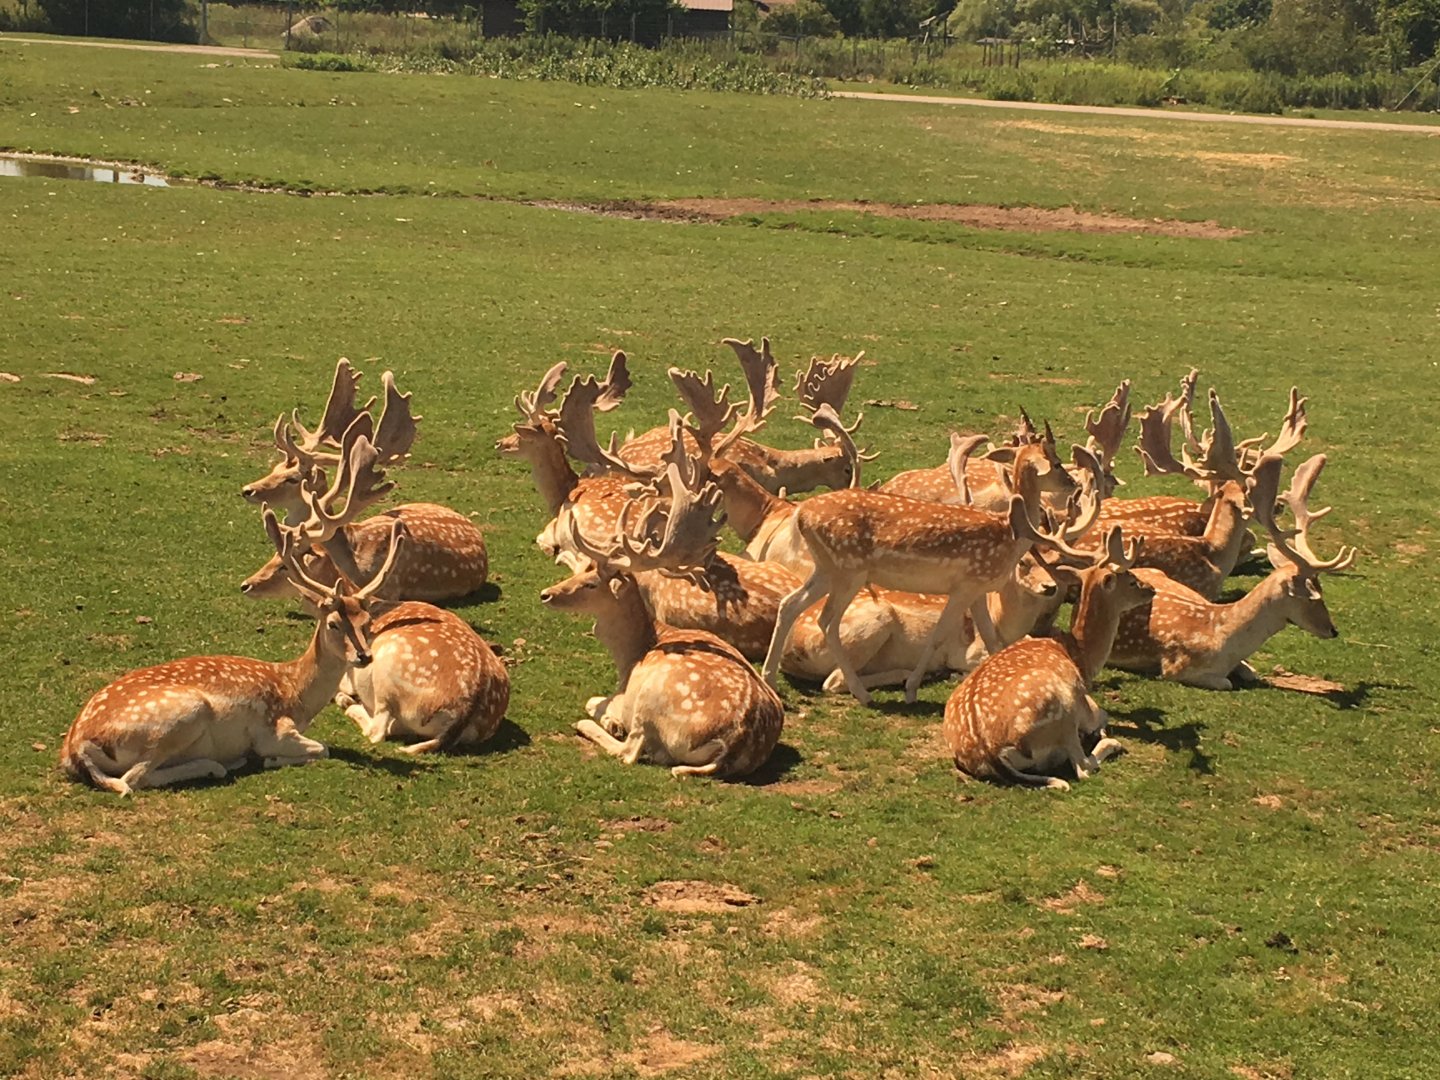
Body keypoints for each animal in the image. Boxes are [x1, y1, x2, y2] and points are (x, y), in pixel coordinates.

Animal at [61, 503, 403, 795]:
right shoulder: (274, 731)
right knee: (132, 780)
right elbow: (323, 748)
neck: (296, 693)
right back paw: (218, 764)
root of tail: (75, 747)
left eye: (366, 621)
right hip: (183, 715)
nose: (364, 656)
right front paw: (271, 760)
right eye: (333, 623)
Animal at [538, 451, 784, 780]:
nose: (546, 594)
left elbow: (595, 703)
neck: (631, 655)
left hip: (651, 698)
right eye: (579, 571)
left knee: (631, 750)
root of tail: (733, 744)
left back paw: (591, 725)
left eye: (591, 584)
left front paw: (609, 719)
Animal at [762, 432, 1105, 706]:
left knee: (790, 604)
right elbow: (939, 634)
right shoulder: (965, 584)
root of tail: (801, 514)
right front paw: (912, 689)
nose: (1073, 482)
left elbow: (992, 640)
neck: (1009, 536)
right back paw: (863, 692)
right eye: (1057, 462)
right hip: (850, 571)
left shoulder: (978, 589)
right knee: (827, 620)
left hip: (827, 569)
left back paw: (770, 679)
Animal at [943, 528, 1154, 791]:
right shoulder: (1086, 702)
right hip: (1061, 708)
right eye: (1132, 580)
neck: (1080, 655)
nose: (1151, 589)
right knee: (1083, 767)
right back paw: (1111, 743)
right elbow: (1102, 715)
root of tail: (989, 752)